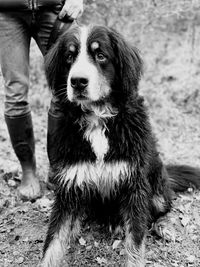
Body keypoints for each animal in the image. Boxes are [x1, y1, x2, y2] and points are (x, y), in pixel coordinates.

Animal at [40, 24, 200, 266]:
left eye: (100, 55)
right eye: (69, 56)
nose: (77, 81)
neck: (97, 118)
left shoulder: (135, 183)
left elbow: (135, 240)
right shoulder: (70, 184)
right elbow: (54, 241)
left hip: (156, 182)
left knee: (162, 208)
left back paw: (163, 226)